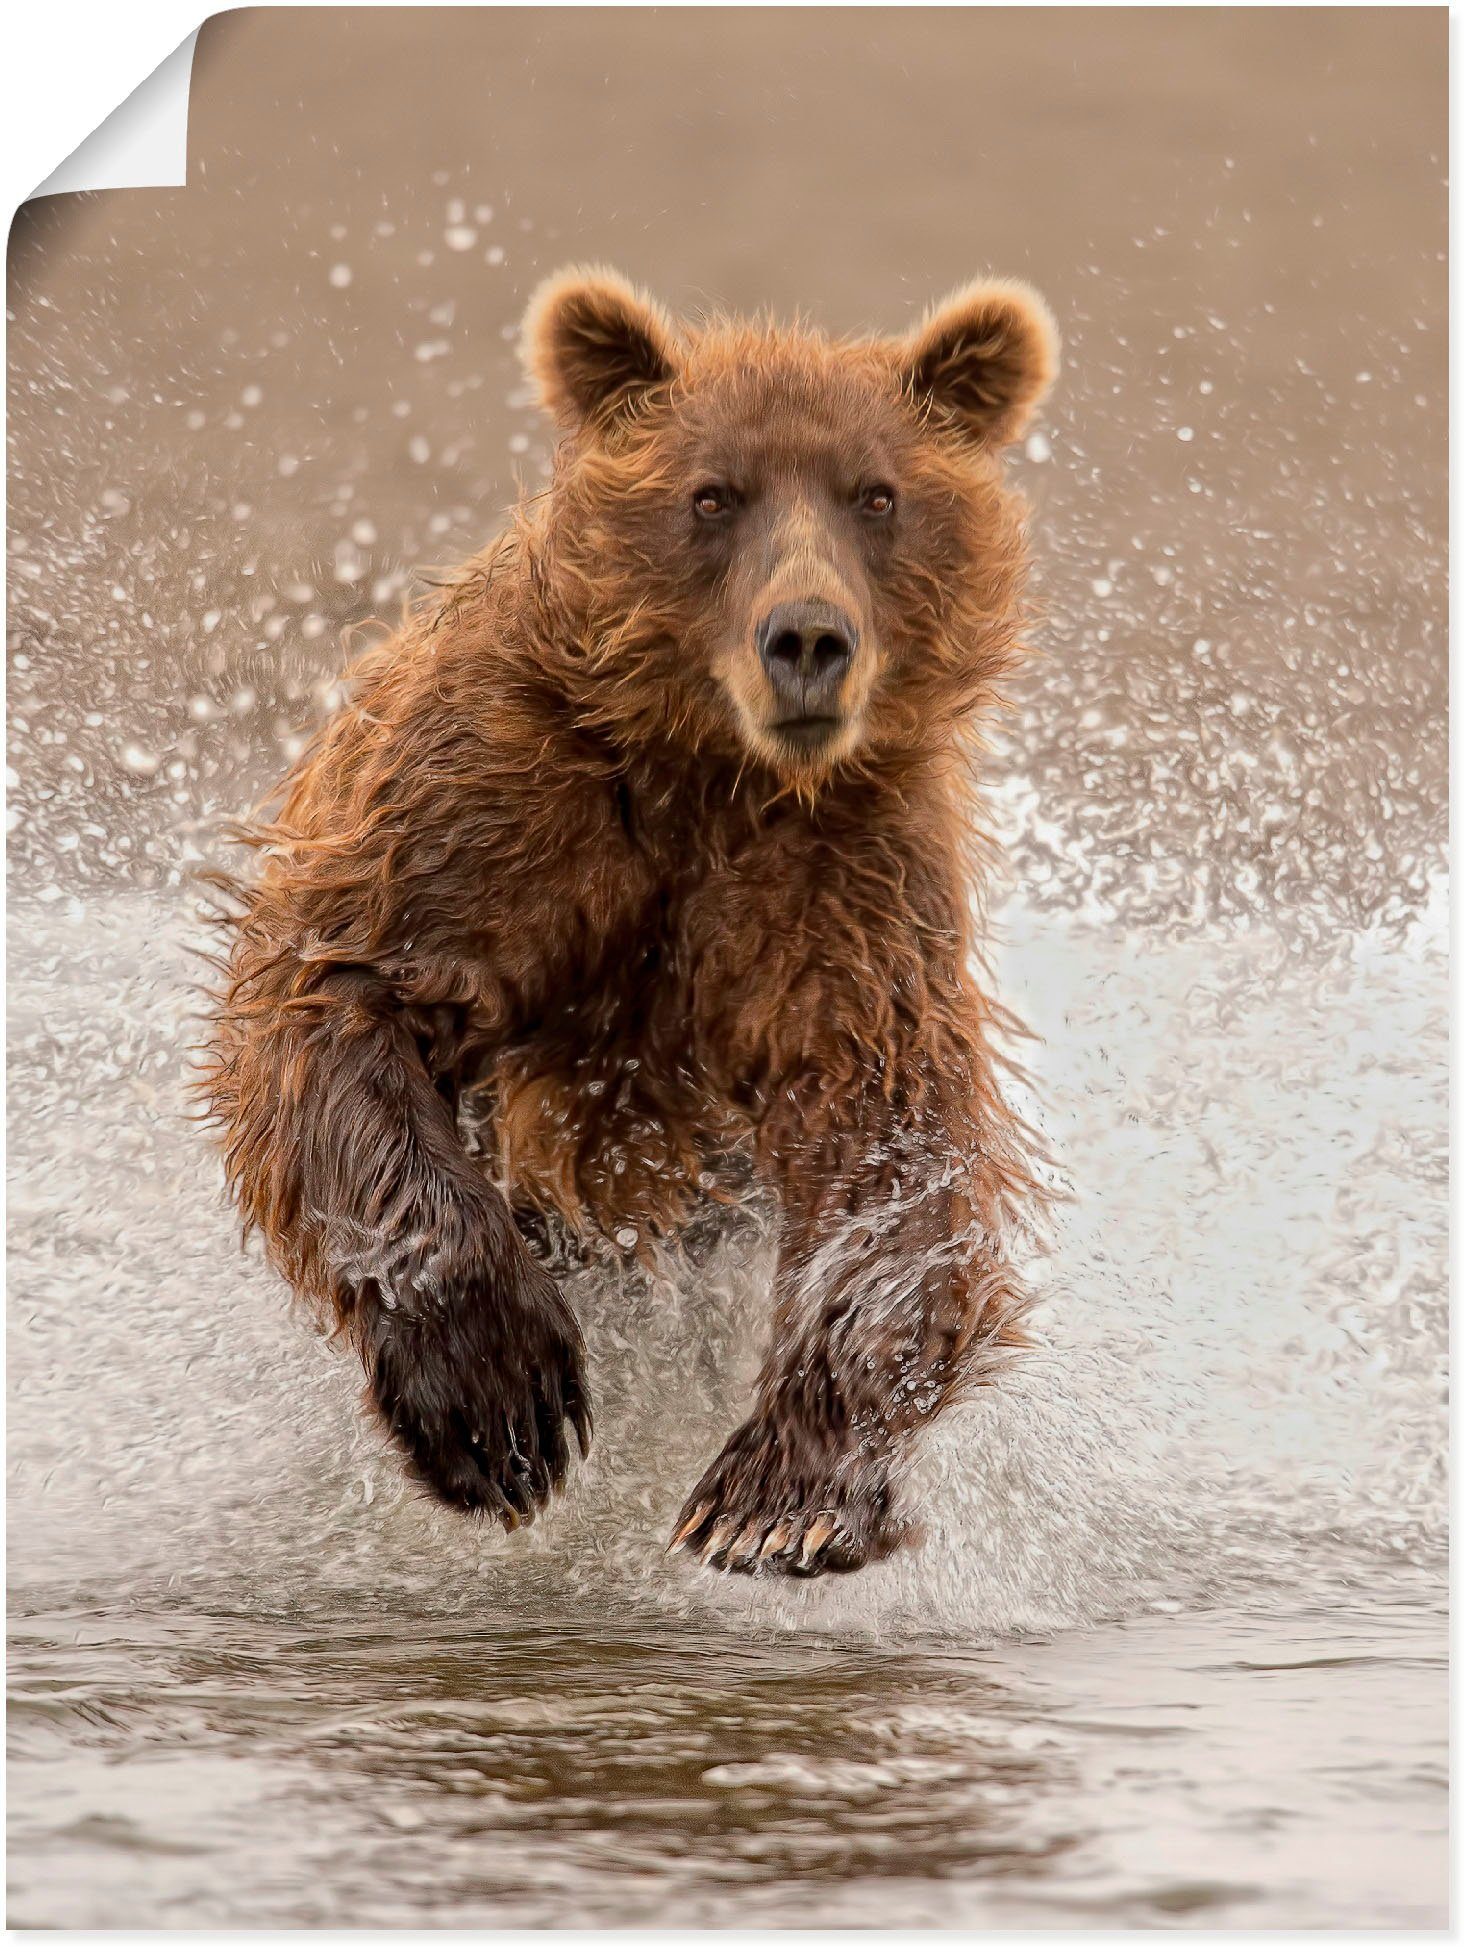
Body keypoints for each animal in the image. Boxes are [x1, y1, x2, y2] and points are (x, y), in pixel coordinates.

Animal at [201, 267, 1061, 1577]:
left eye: (878, 494)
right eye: (712, 493)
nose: (807, 638)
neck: (709, 769)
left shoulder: (842, 878)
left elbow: (889, 1130)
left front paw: (780, 1497)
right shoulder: (494, 803)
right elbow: (344, 992)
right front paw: (499, 1403)